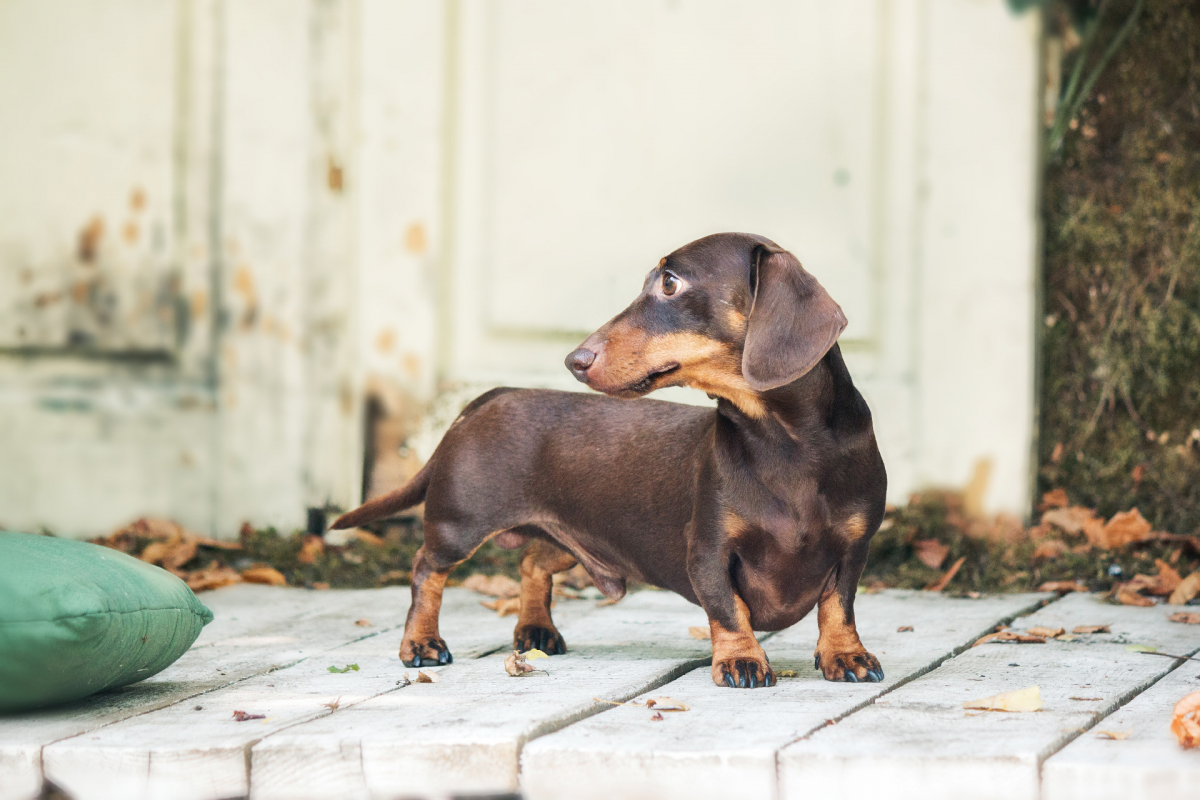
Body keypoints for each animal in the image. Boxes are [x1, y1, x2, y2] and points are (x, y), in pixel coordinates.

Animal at [333, 231, 888, 690]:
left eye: (670, 282)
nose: (574, 360)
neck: (785, 444)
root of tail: (491, 396)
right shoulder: (708, 551)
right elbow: (729, 610)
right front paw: (741, 660)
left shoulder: (854, 548)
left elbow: (838, 607)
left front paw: (846, 656)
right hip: (459, 523)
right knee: (426, 569)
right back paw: (421, 644)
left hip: (571, 533)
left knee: (534, 561)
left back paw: (536, 630)